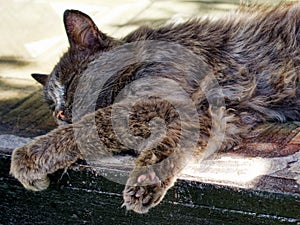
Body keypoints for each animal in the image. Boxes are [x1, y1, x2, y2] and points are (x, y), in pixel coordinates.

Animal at [9, 1, 300, 214]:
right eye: (54, 111)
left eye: (71, 83)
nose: (62, 114)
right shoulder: (215, 119)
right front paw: (148, 179)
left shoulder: (171, 104)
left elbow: (92, 124)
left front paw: (29, 156)